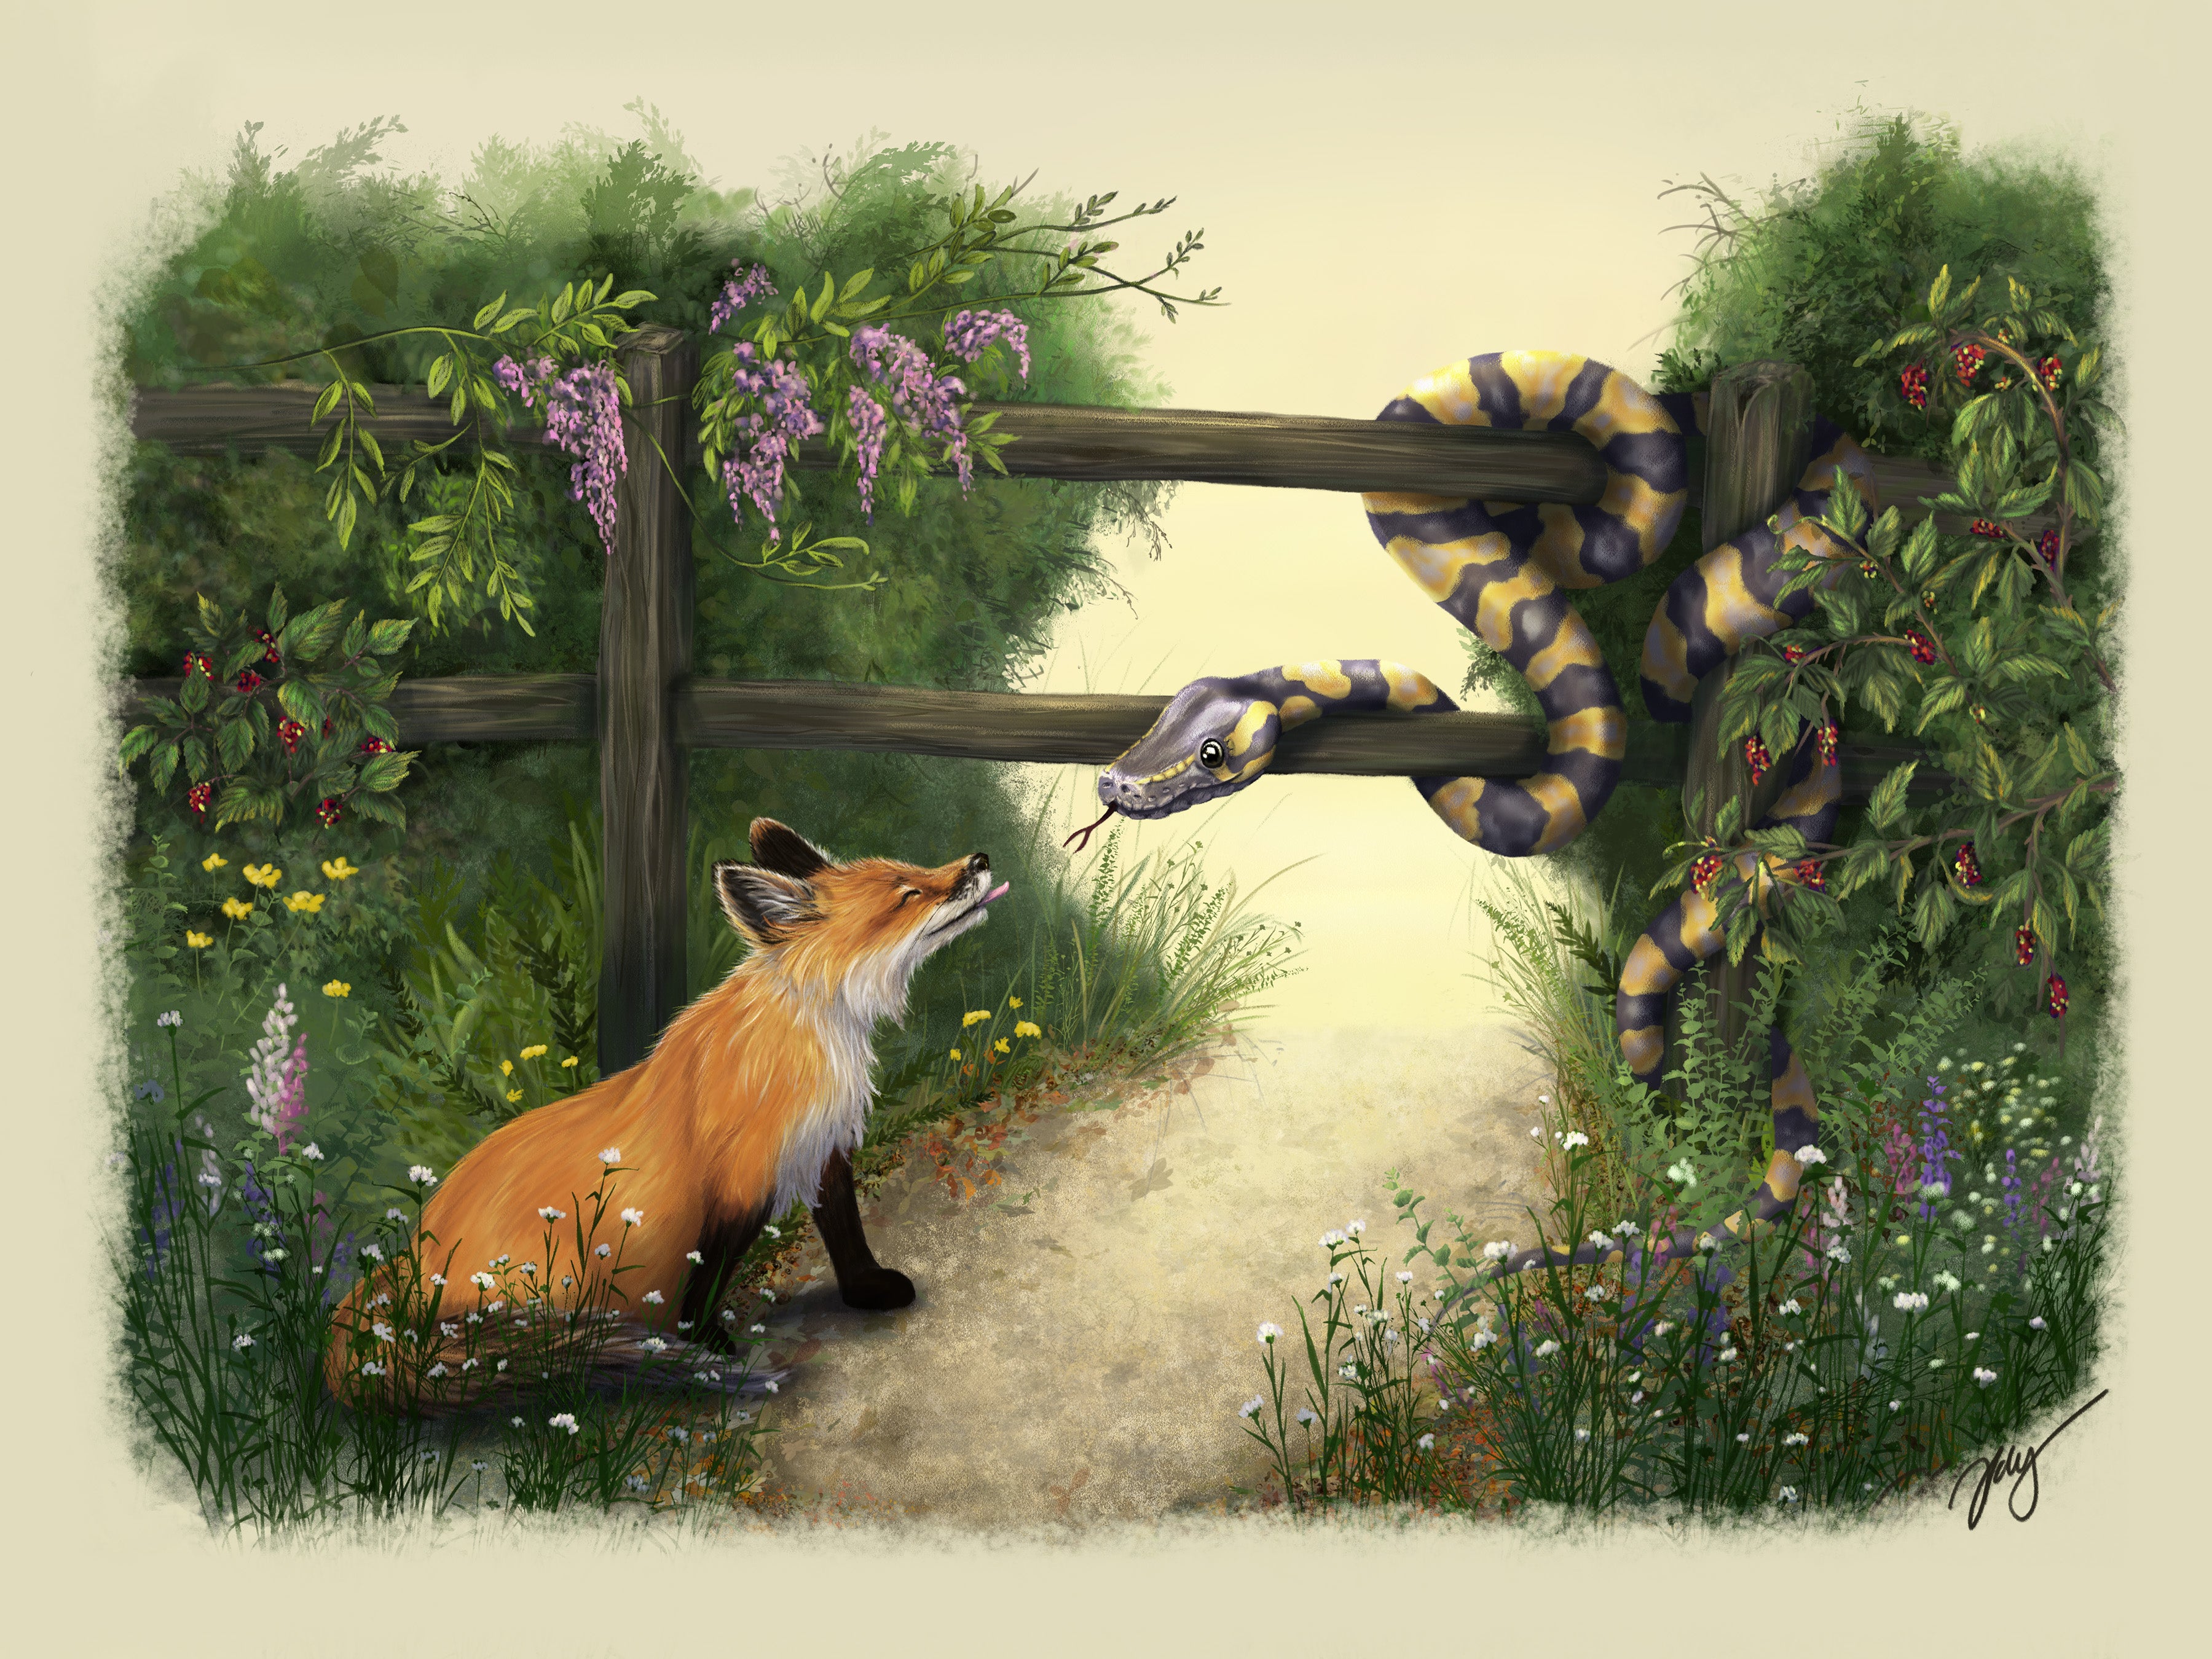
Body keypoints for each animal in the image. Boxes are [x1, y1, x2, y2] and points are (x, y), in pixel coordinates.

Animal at [321, 818, 1008, 1403]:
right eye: (909, 893)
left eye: (912, 871)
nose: (980, 858)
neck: (807, 1035)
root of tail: (409, 1264)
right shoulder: (740, 1180)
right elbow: (708, 1274)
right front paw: (709, 1347)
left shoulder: (821, 1148)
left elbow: (847, 1232)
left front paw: (865, 1292)